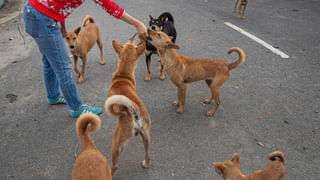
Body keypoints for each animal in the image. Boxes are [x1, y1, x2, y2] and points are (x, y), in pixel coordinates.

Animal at [104, 35, 151, 176]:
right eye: (128, 44)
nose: (131, 39)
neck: (123, 76)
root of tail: (135, 115)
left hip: (117, 144)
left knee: (115, 166)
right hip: (146, 137)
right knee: (148, 155)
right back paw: (146, 163)